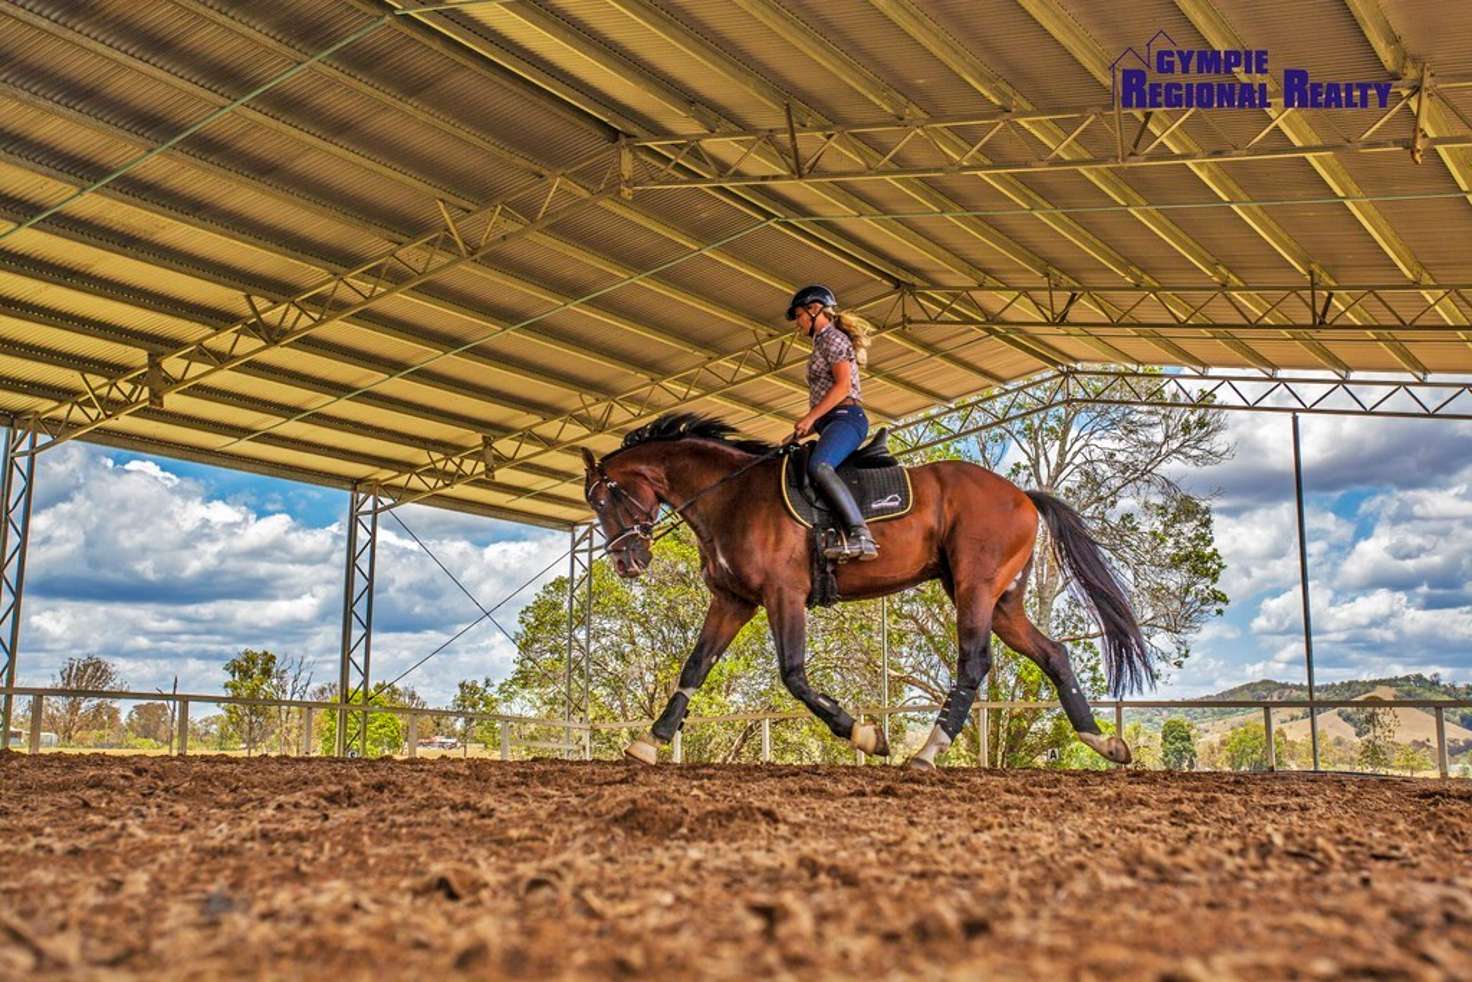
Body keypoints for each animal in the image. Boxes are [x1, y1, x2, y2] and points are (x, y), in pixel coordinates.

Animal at [579, 412, 1154, 771]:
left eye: (607, 499)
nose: (627, 562)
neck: (732, 496)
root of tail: (1022, 496)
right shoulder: (733, 600)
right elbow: (695, 667)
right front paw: (648, 742)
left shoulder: (783, 594)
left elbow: (794, 676)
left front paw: (865, 735)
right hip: (1001, 600)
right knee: (1053, 654)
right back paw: (1104, 743)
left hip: (975, 587)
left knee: (973, 662)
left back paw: (926, 753)